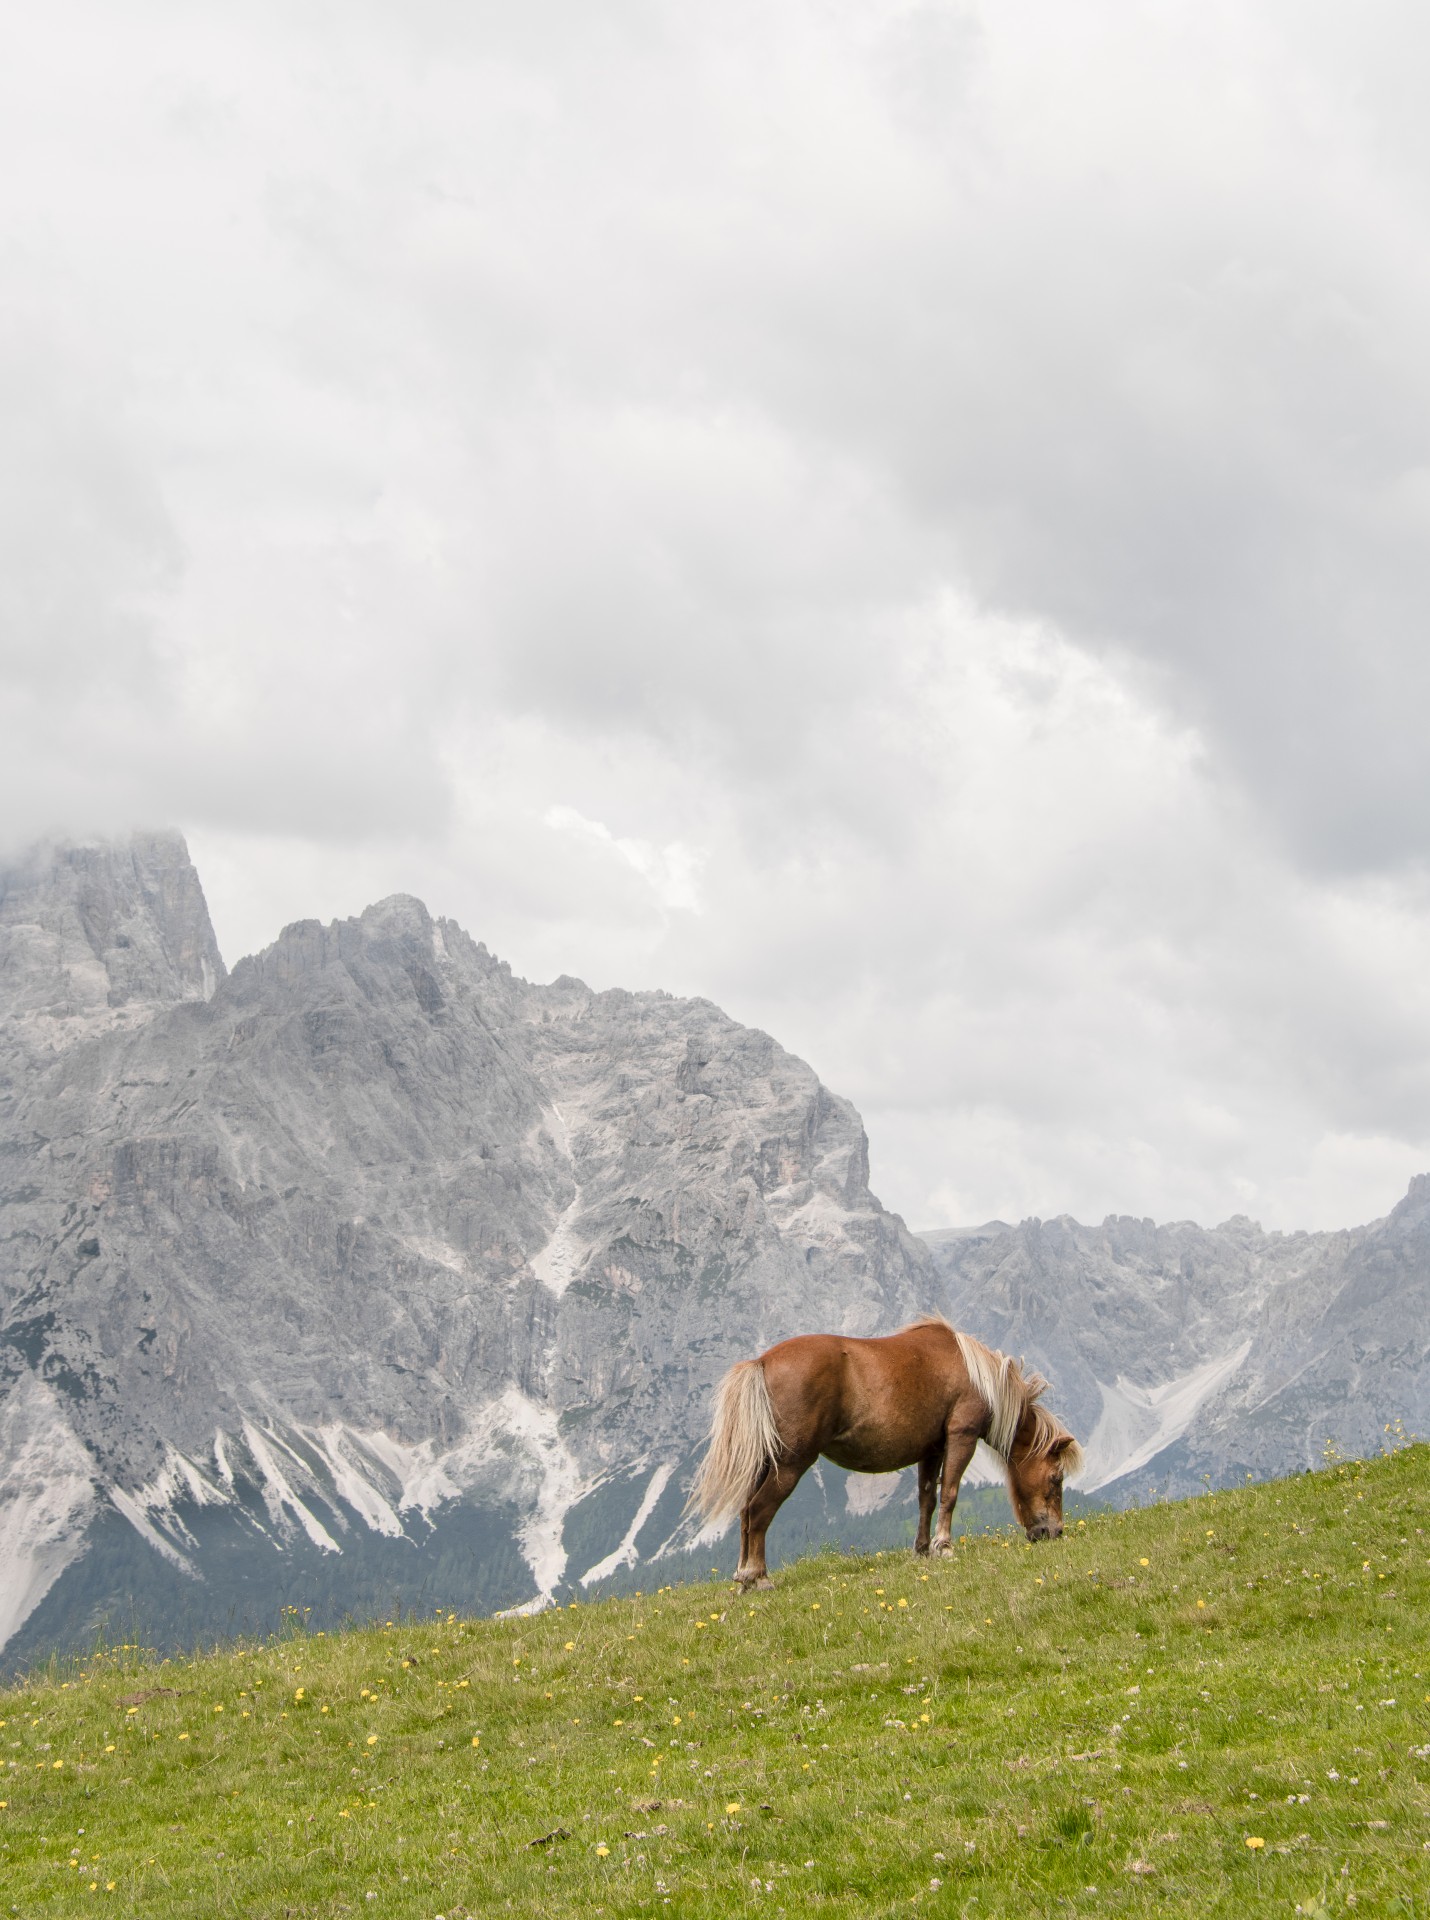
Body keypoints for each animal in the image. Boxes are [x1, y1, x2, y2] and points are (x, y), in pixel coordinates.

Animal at [688, 1315, 1083, 1589]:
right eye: (1056, 1478)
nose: (1053, 1532)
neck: (975, 1375)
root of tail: (762, 1362)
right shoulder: (962, 1436)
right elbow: (950, 1493)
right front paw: (944, 1547)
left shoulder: (932, 1449)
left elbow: (926, 1499)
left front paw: (922, 1550)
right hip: (790, 1465)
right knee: (759, 1512)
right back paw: (758, 1577)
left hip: (764, 1464)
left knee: (745, 1513)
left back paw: (743, 1577)